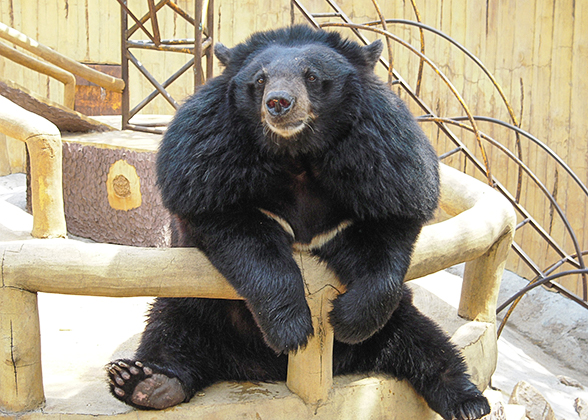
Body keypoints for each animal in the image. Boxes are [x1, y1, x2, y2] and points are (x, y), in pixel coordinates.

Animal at [107, 24, 492, 418]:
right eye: (260, 80)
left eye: (312, 77)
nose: (278, 103)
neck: (298, 155)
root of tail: (256, 369)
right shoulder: (207, 162)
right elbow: (241, 234)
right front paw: (291, 330)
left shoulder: (383, 163)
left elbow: (386, 235)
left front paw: (345, 320)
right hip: (195, 303)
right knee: (171, 331)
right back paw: (146, 382)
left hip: (399, 317)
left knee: (425, 342)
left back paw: (468, 400)